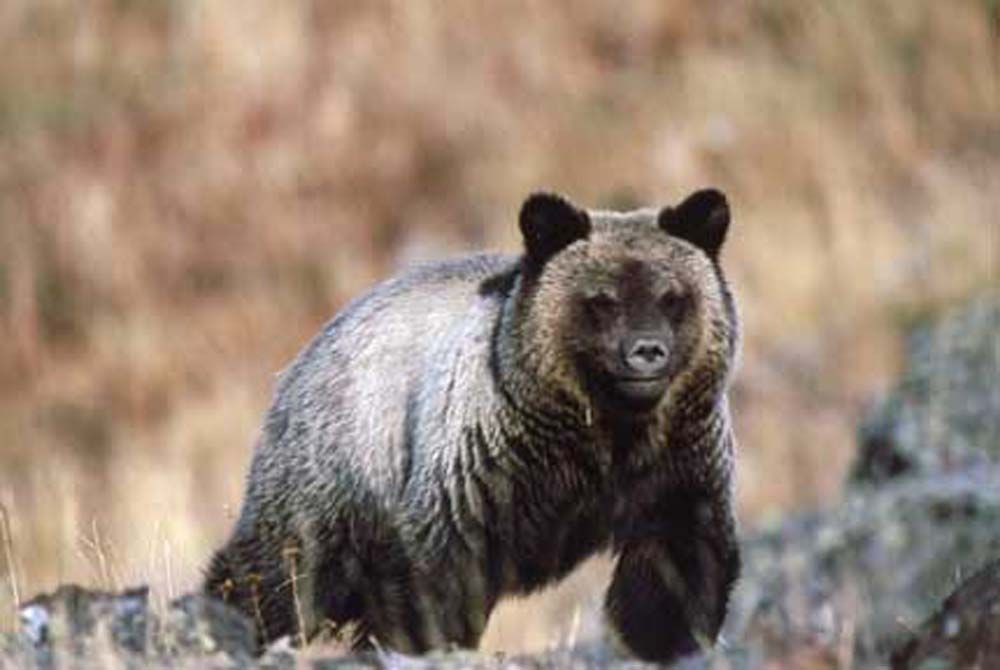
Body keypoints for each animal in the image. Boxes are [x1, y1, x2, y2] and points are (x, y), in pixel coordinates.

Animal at [204, 188, 741, 663]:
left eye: (673, 296)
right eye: (602, 300)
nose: (646, 351)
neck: (601, 431)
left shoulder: (673, 466)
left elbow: (676, 569)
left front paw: (662, 641)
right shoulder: (483, 470)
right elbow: (437, 575)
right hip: (337, 474)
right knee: (277, 575)